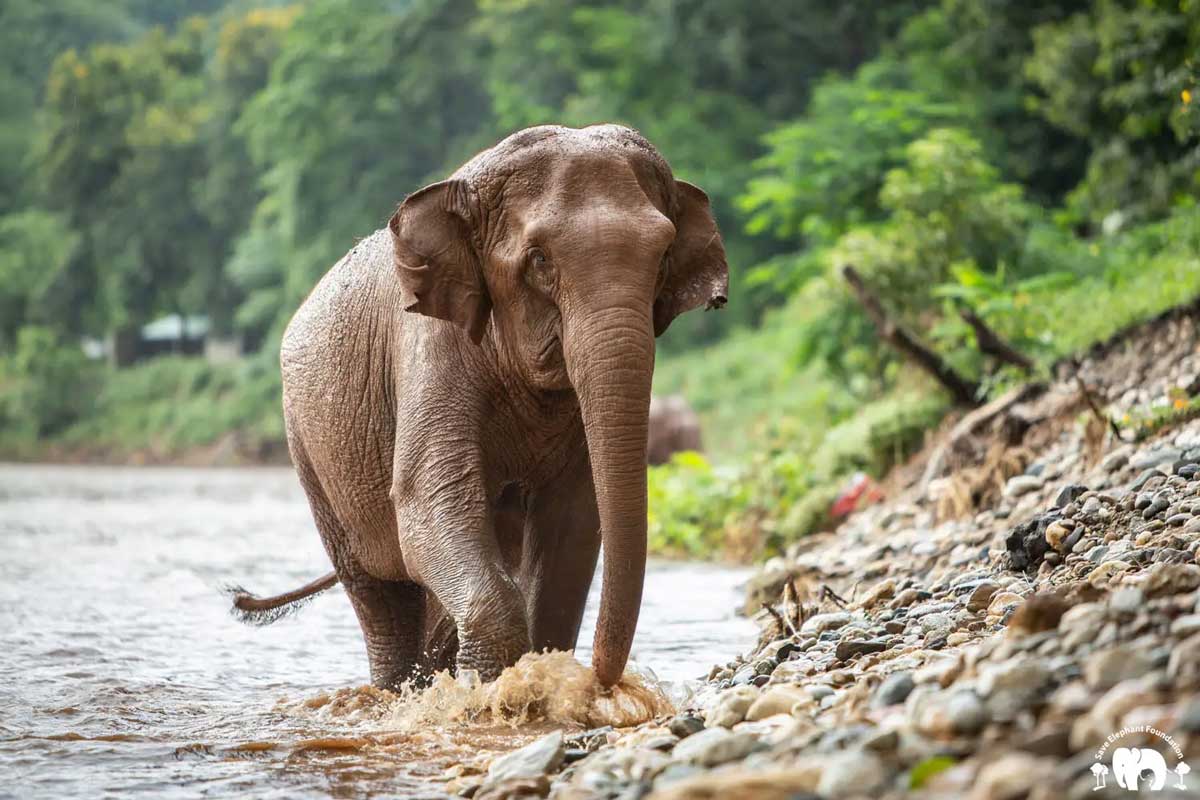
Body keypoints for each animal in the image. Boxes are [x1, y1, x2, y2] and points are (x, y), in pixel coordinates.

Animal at [228, 123, 724, 690]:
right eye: (539, 260)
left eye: (663, 256)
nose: (603, 677)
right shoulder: (429, 347)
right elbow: (426, 500)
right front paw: (490, 684)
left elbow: (573, 521)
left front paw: (535, 673)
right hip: (310, 454)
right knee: (378, 595)